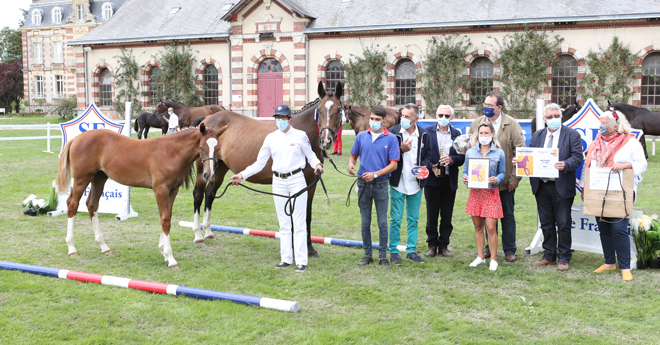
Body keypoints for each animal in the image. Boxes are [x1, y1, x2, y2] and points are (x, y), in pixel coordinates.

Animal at [56, 123, 232, 268]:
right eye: (201, 147)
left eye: (218, 148)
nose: (209, 175)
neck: (171, 152)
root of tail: (77, 138)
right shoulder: (160, 189)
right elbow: (165, 219)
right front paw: (170, 258)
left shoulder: (172, 190)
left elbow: (167, 215)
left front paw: (163, 251)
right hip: (82, 179)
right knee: (72, 203)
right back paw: (71, 248)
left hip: (99, 177)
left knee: (92, 204)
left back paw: (104, 247)